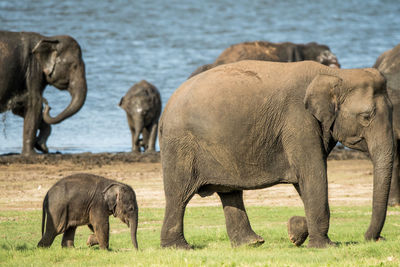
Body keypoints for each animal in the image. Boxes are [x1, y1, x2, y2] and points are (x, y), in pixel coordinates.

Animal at [159, 60, 394, 249]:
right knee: (179, 195)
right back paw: (179, 248)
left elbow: (305, 183)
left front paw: (296, 231)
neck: (336, 74)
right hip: (180, 146)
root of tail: (166, 107)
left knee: (230, 192)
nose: (374, 238)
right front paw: (323, 245)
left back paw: (252, 243)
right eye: (366, 116)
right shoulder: (298, 122)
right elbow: (313, 175)